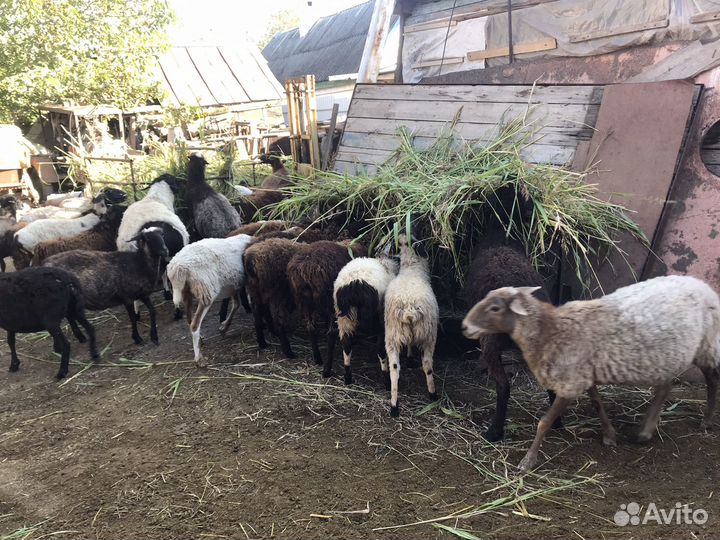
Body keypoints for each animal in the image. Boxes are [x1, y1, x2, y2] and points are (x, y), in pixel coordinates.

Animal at [167, 234, 254, 366]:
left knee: (189, 320)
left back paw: (200, 339)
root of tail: (178, 268)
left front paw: (224, 326)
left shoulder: (233, 285)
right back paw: (199, 358)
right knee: (194, 325)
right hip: (206, 290)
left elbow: (236, 304)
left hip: (186, 293)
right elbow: (238, 304)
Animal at [287, 240, 367, 370]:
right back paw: (328, 367)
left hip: (303, 301)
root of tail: (307, 269)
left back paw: (318, 359)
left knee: (311, 328)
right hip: (330, 301)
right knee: (331, 334)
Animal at [333, 251, 399, 384]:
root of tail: (355, 283)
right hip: (377, 319)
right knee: (381, 349)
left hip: (344, 320)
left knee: (346, 346)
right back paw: (386, 379)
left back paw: (348, 377)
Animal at [384, 235, 439, 417]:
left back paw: (394, 406)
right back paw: (433, 395)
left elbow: (409, 343)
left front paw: (408, 358)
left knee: (394, 369)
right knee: (427, 365)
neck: (411, 268)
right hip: (429, 334)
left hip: (393, 334)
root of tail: (408, 308)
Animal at [462, 275, 720, 472]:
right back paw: (645, 432)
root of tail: (703, 285)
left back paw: (706, 421)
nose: (464, 326)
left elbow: (544, 423)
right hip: (665, 358)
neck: (551, 331)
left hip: (705, 345)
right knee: (665, 387)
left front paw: (527, 461)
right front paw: (609, 436)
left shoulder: (569, 382)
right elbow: (597, 403)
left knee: (711, 379)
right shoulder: (584, 376)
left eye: (495, 307)